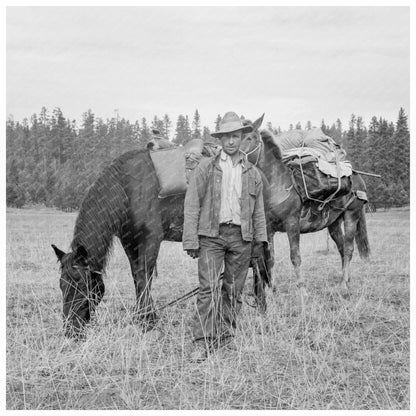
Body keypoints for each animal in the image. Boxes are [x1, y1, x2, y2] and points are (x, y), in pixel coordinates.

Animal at [51, 127, 270, 338]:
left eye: (81, 285)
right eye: (62, 285)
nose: (70, 329)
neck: (128, 188)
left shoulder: (151, 239)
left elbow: (144, 275)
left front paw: (147, 320)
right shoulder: (129, 241)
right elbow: (136, 275)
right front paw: (144, 316)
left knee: (259, 266)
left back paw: (261, 308)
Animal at [244, 115, 370, 294]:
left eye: (249, 137)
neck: (275, 185)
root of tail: (358, 178)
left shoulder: (292, 224)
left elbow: (295, 256)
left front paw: (302, 288)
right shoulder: (268, 229)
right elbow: (270, 258)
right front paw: (272, 289)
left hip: (351, 216)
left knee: (348, 249)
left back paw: (344, 284)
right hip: (333, 224)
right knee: (341, 248)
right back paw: (346, 278)